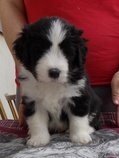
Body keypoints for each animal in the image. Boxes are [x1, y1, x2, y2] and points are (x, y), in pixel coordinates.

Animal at [13, 17, 100, 147]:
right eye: (39, 50)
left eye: (67, 52)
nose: (54, 72)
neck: (52, 85)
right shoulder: (33, 100)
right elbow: (36, 121)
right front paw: (38, 139)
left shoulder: (78, 97)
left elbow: (78, 119)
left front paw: (80, 137)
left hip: (95, 104)